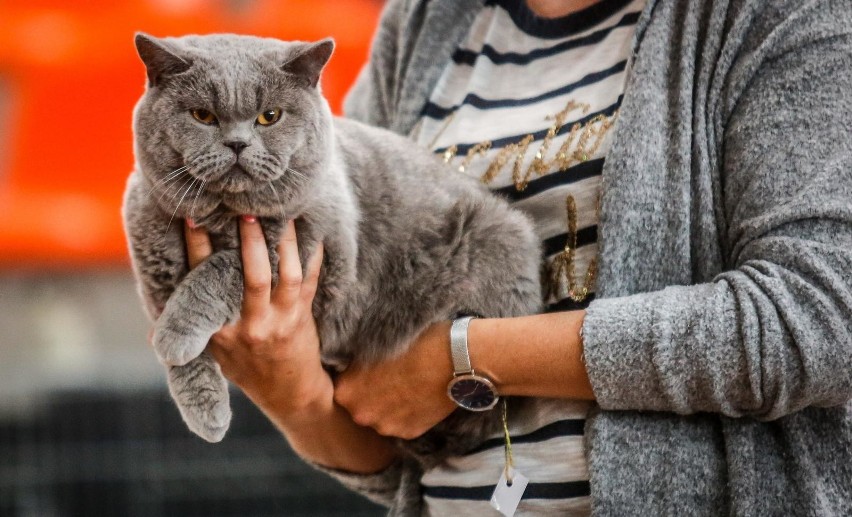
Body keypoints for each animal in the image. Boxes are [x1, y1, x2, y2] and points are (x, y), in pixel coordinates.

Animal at [123, 31, 544, 460]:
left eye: (269, 116)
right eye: (203, 116)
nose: (237, 143)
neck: (223, 219)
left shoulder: (310, 251)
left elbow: (218, 271)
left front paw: (175, 338)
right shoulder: (156, 280)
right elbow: (185, 358)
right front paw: (205, 411)